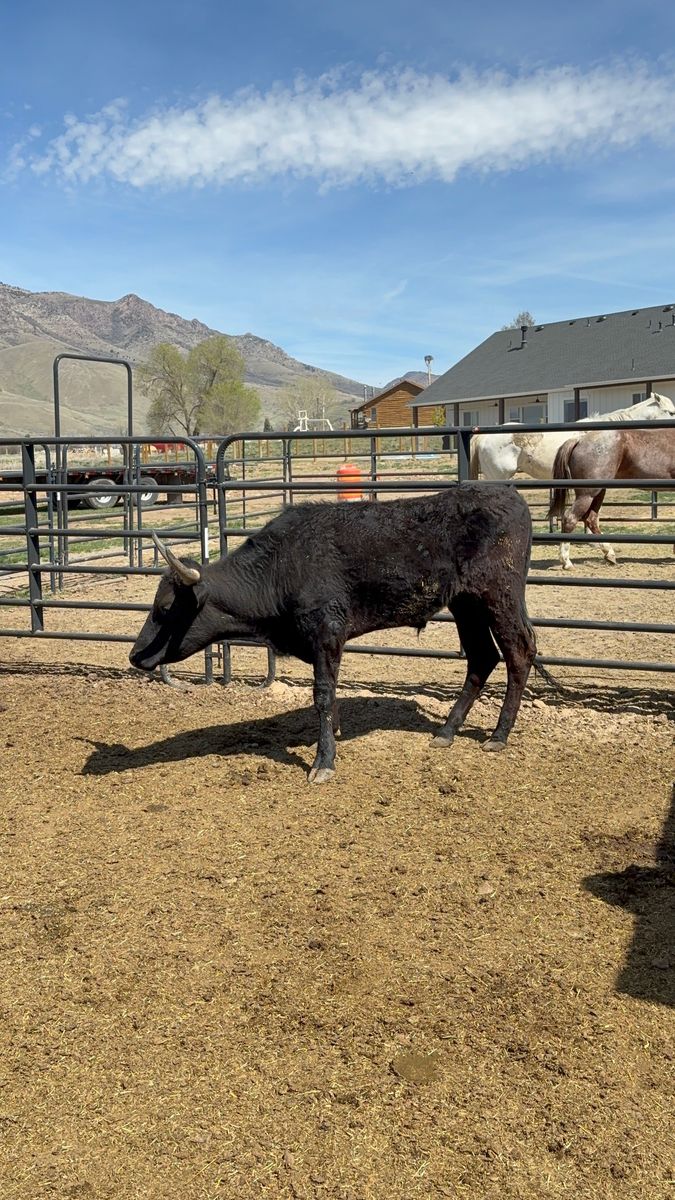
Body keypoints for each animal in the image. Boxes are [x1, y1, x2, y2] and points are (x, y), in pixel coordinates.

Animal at [548, 427, 675, 562]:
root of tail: (579, 440)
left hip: (599, 492)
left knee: (591, 519)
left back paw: (609, 554)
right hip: (587, 494)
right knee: (570, 518)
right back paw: (566, 561)